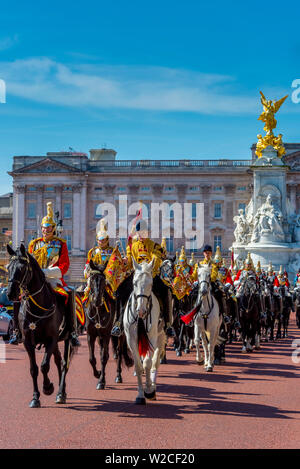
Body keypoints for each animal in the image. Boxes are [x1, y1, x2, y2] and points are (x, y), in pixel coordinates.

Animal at [6, 243, 77, 408]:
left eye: (22, 268)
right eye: (8, 267)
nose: (10, 294)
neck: (37, 307)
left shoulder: (50, 339)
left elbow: (45, 365)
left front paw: (48, 387)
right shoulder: (27, 342)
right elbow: (34, 369)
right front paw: (35, 398)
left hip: (66, 339)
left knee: (64, 363)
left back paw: (60, 393)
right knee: (58, 361)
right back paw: (61, 391)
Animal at [86, 260, 134, 388]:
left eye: (103, 280)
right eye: (92, 278)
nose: (97, 300)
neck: (98, 311)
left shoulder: (107, 334)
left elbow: (104, 357)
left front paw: (101, 381)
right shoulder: (91, 335)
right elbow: (92, 358)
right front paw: (98, 374)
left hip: (120, 334)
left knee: (119, 351)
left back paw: (118, 376)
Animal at [124, 256, 166, 402]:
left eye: (151, 284)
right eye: (134, 283)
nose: (141, 311)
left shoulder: (152, 337)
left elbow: (148, 362)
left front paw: (148, 390)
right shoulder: (131, 338)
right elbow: (138, 364)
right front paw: (140, 394)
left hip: (160, 336)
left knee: (155, 362)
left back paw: (153, 386)